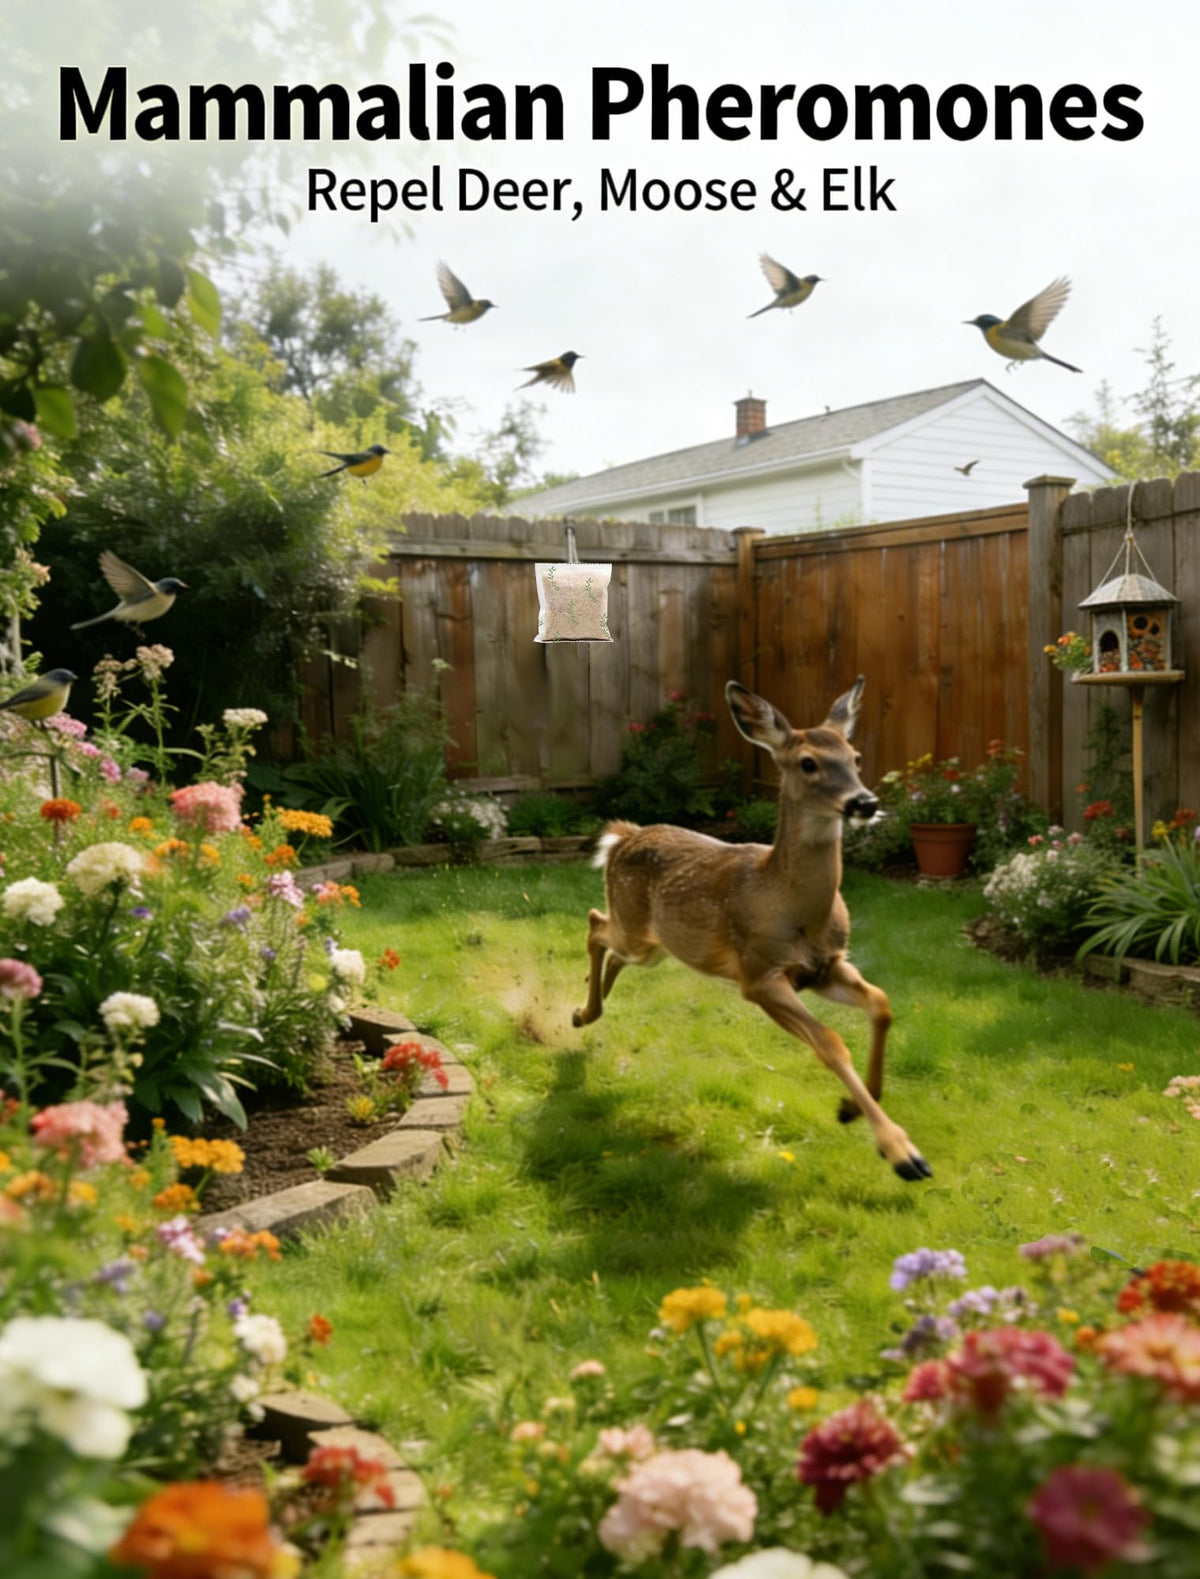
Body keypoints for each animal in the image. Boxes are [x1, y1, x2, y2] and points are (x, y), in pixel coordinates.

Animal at [572, 677, 931, 1183]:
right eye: (808, 762)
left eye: (856, 757)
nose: (865, 802)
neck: (793, 908)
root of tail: (623, 836)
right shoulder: (758, 974)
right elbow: (830, 1042)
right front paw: (902, 1153)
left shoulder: (825, 968)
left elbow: (881, 1004)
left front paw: (850, 1108)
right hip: (637, 929)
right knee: (593, 922)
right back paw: (584, 1012)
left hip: (657, 946)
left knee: (608, 942)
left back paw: (590, 1005)